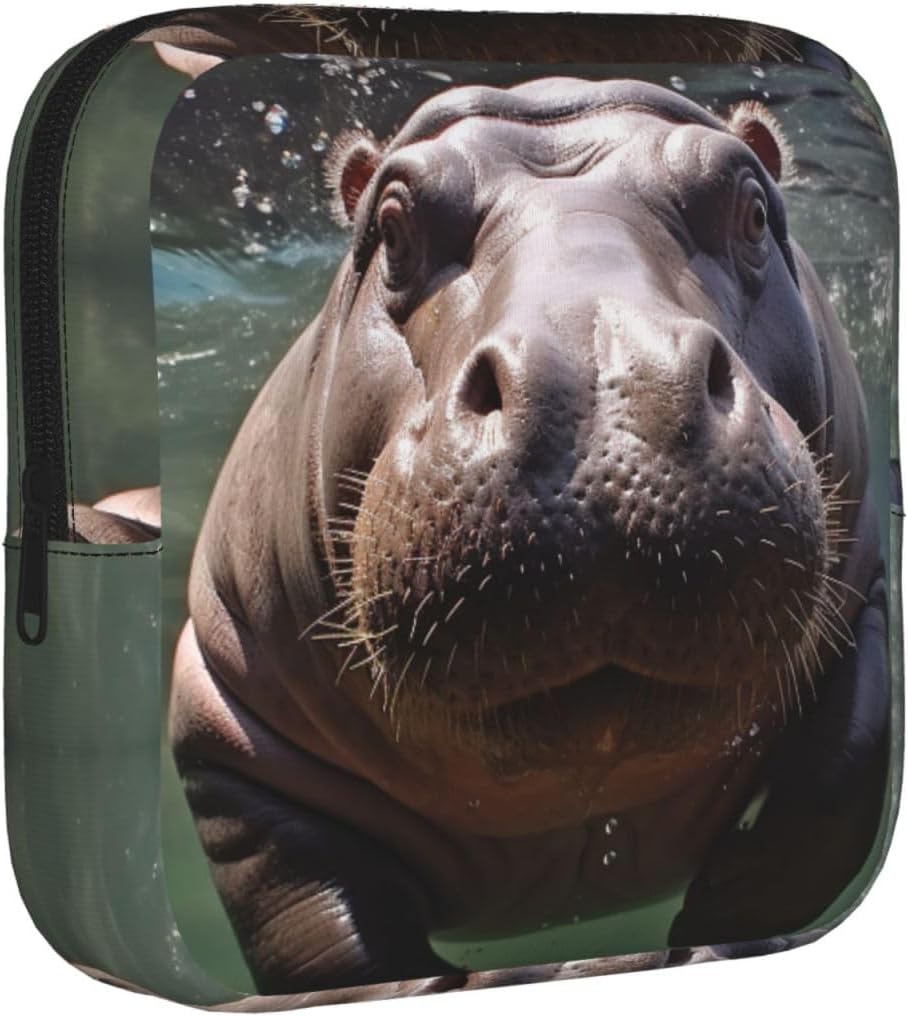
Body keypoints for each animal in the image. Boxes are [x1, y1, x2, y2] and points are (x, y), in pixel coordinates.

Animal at [166, 79, 889, 995]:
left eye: (754, 210)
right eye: (392, 227)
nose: (601, 375)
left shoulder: (865, 613)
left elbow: (830, 793)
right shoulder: (224, 719)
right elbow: (321, 933)